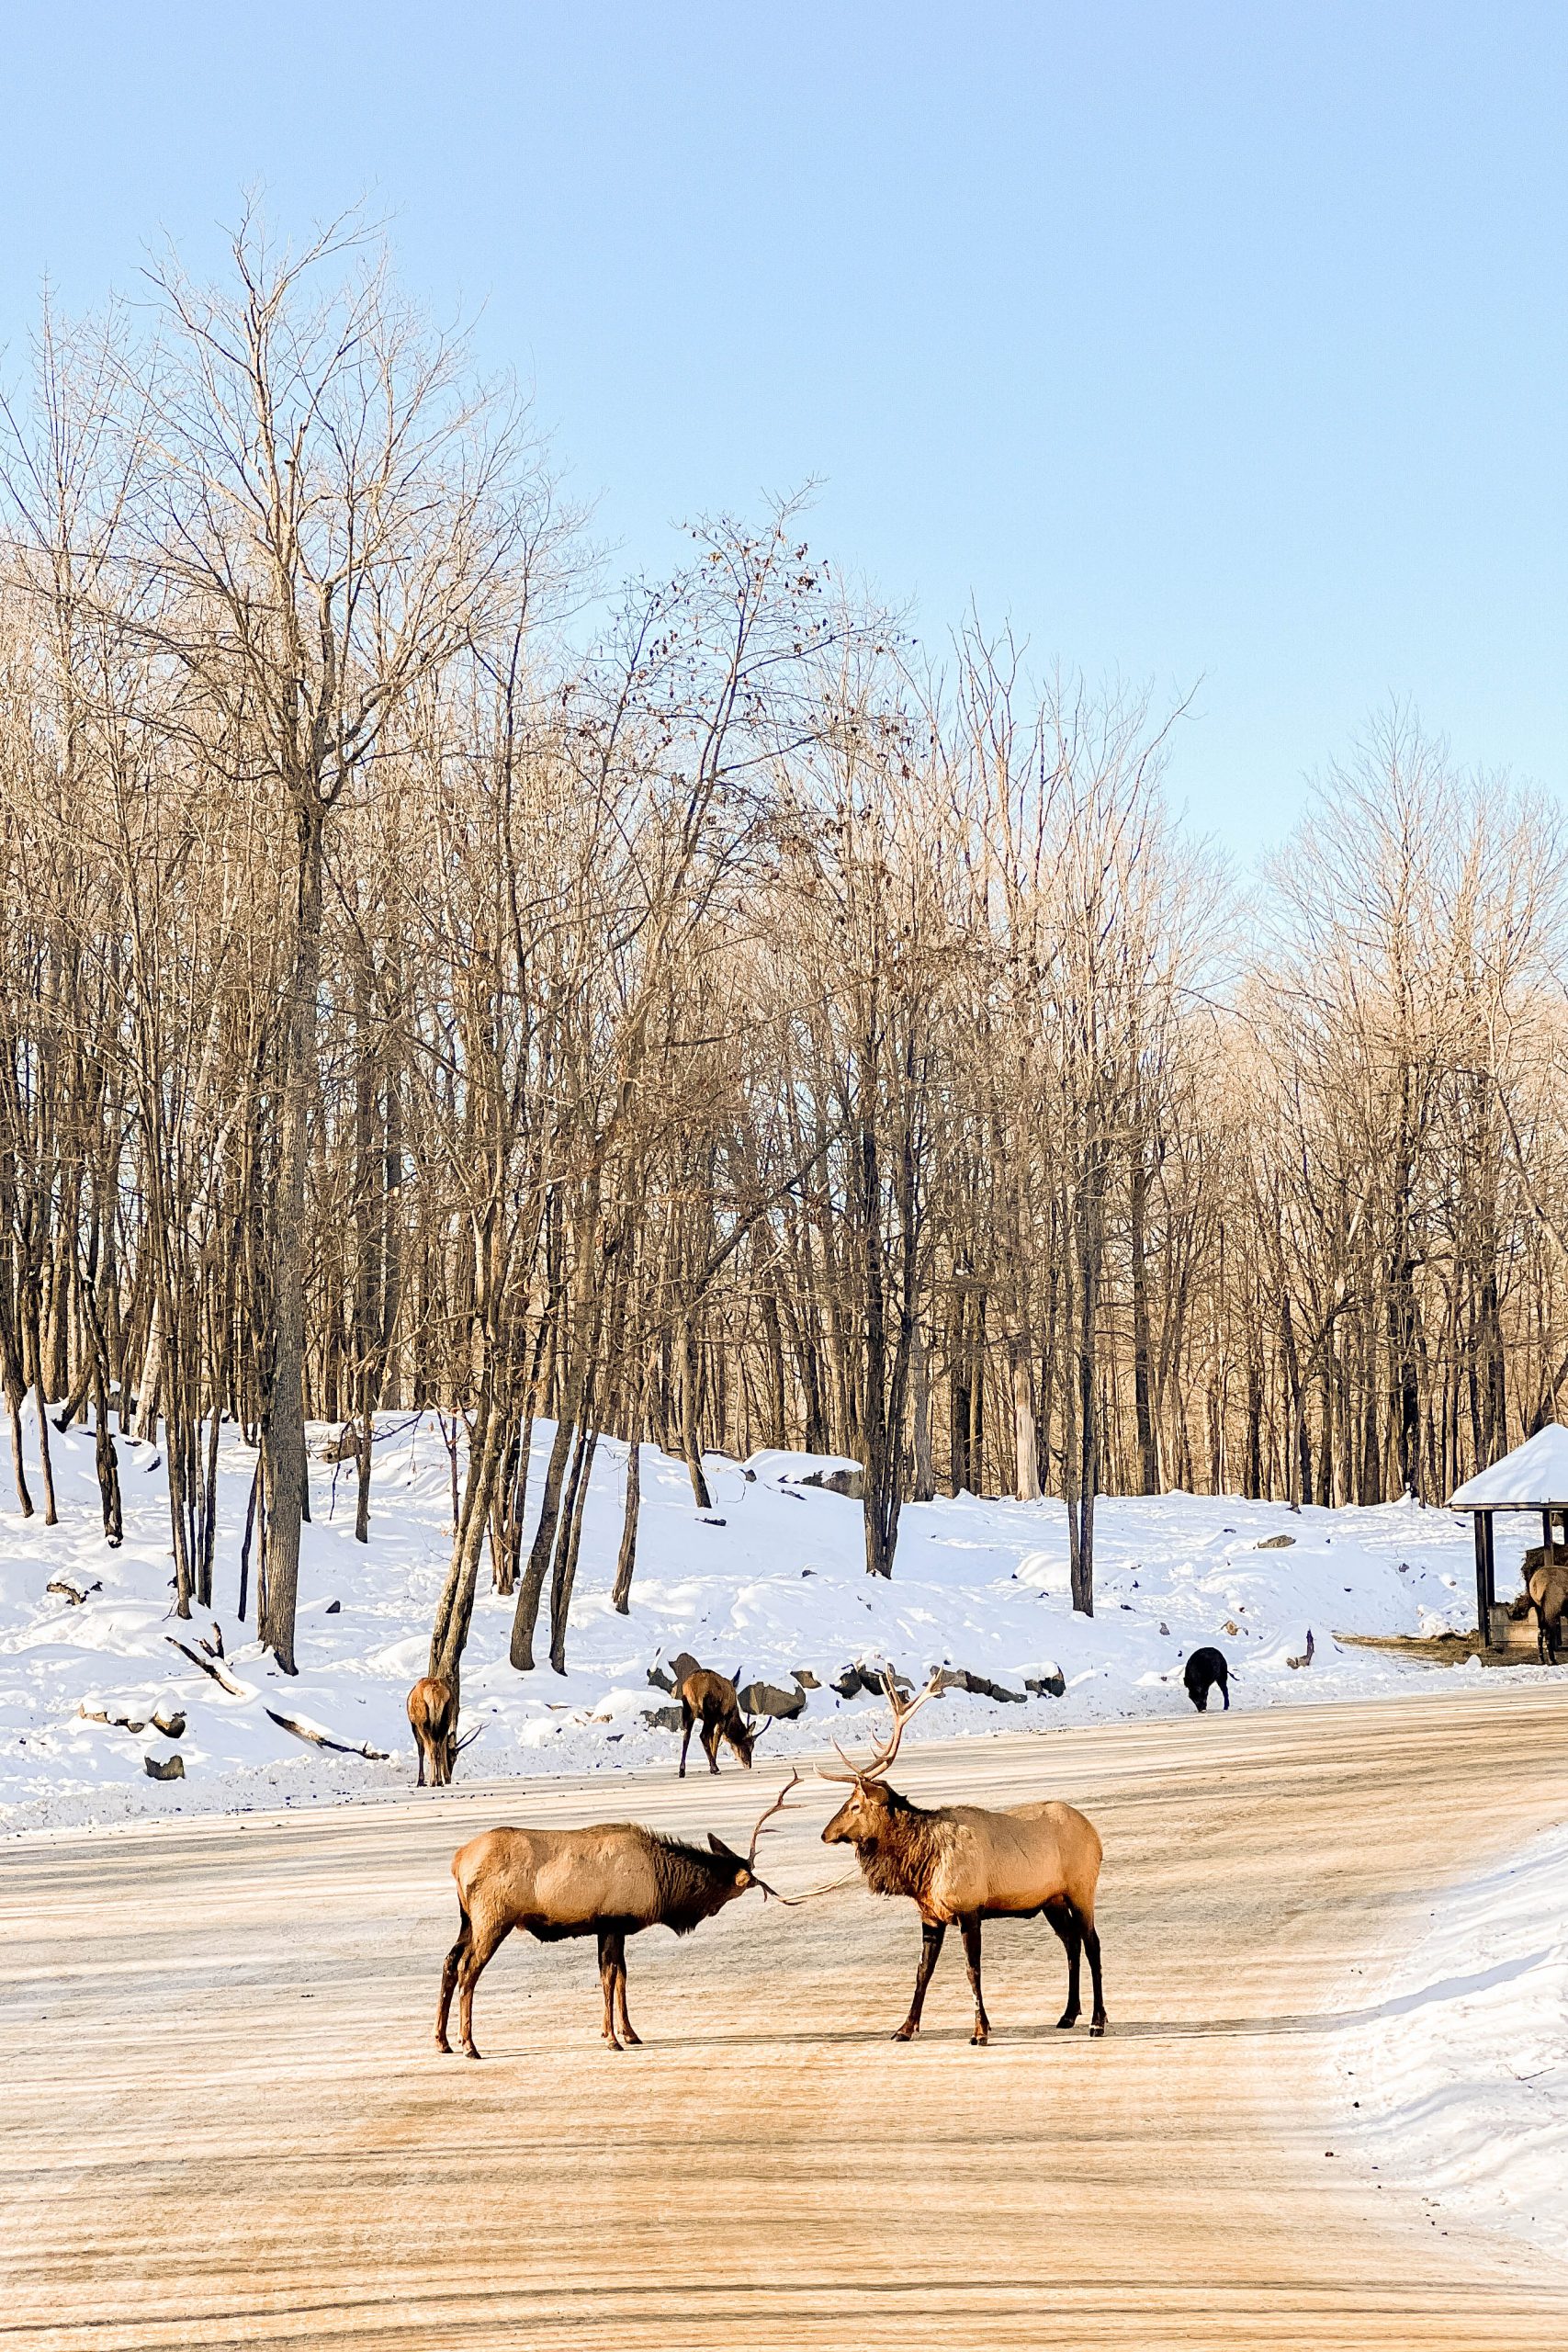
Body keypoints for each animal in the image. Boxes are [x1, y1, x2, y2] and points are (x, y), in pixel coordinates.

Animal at [432, 1769, 799, 2060]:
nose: (758, 1883)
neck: (662, 1887)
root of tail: (457, 1861)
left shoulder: (614, 1927)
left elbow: (622, 1975)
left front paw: (630, 2033)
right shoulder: (611, 1921)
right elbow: (609, 1977)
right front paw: (611, 2038)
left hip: (467, 1920)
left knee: (449, 1961)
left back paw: (442, 2041)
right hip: (493, 1918)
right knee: (468, 1970)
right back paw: (469, 2045)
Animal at [818, 1674, 1109, 2041]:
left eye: (855, 1805)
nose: (825, 1833)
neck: (922, 1868)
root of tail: (1096, 1835)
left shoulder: (969, 1908)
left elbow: (973, 1971)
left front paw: (981, 2030)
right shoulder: (930, 1915)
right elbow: (922, 1972)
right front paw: (904, 2028)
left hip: (1081, 1888)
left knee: (1092, 1944)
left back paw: (1097, 2020)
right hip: (1051, 1900)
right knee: (1071, 1944)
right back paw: (1068, 2014)